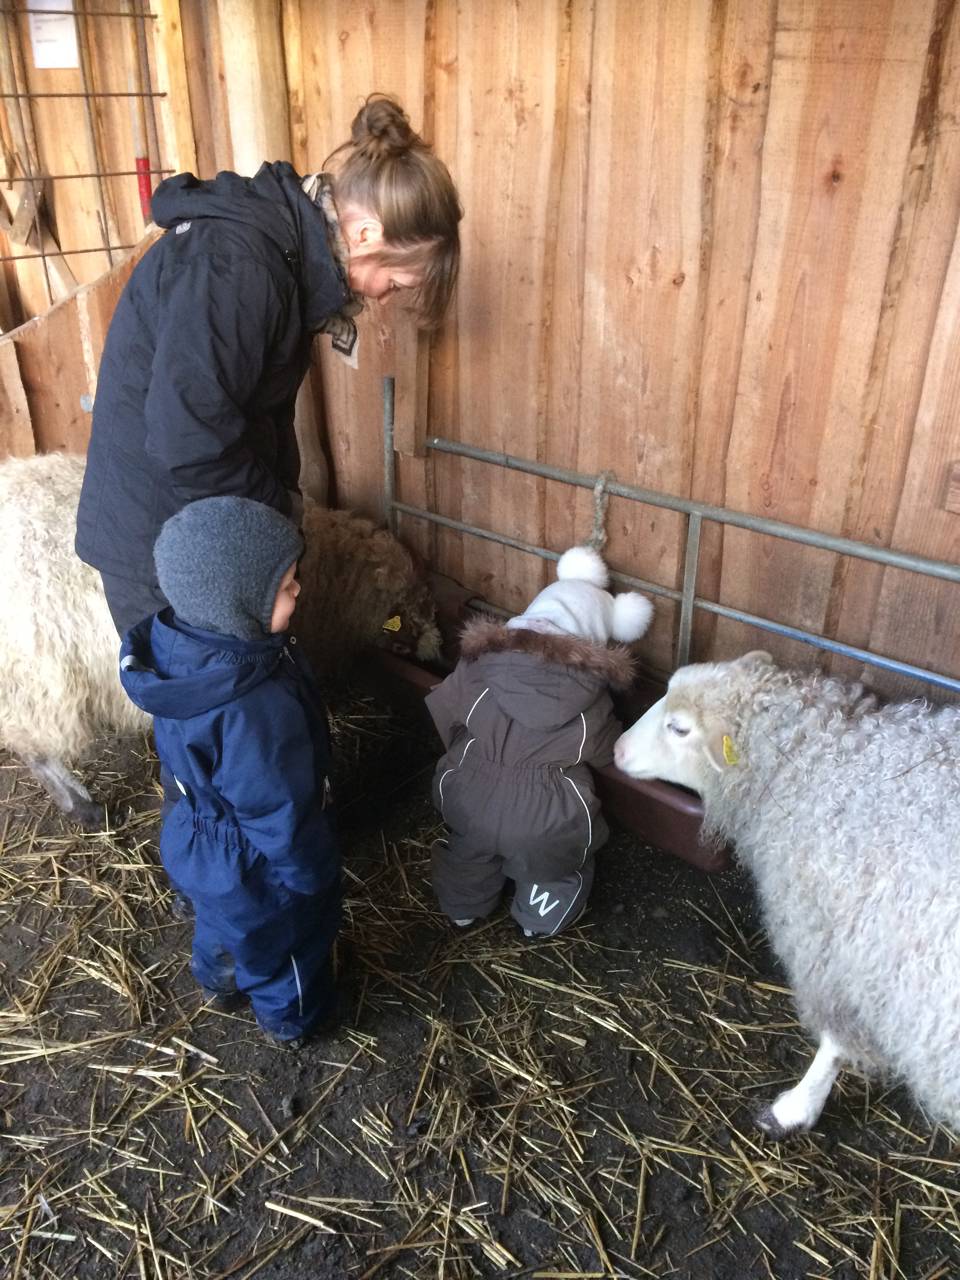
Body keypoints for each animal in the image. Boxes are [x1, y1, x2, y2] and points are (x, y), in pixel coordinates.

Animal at [613, 650, 960, 1136]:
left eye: (679, 728)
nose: (617, 750)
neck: (814, 763)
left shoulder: (839, 946)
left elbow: (835, 1041)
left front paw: (796, 1108)